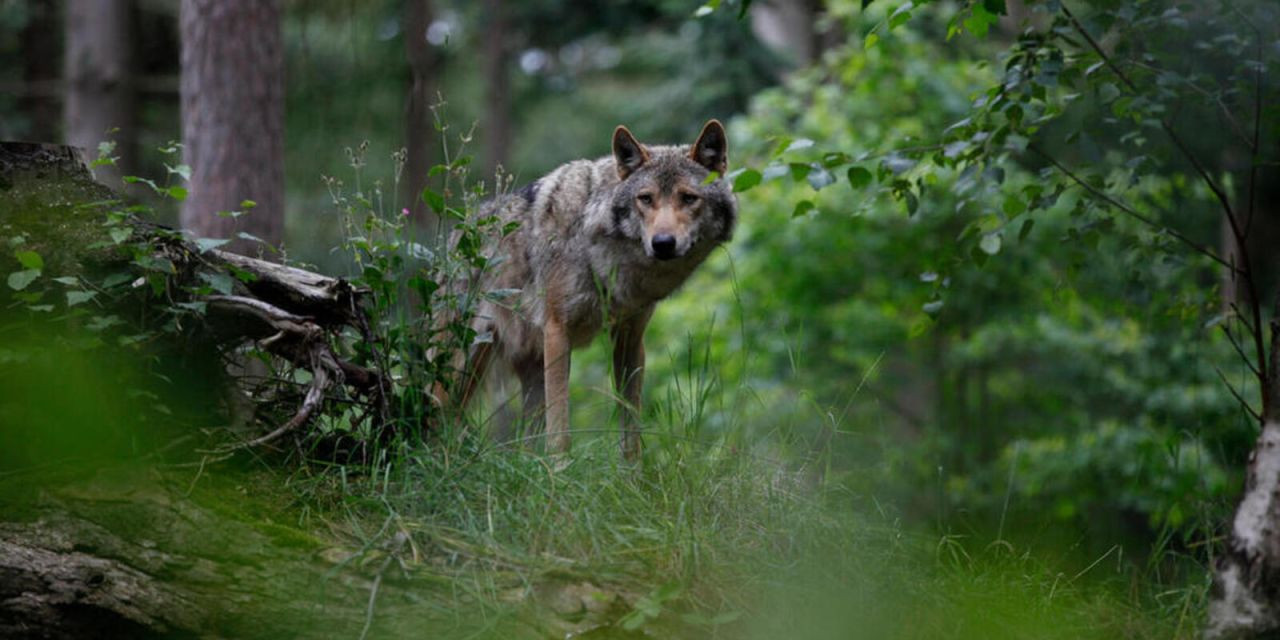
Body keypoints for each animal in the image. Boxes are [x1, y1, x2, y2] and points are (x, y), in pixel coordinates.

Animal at [440, 120, 742, 460]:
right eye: (646, 199)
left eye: (689, 198)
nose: (663, 243)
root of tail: (453, 235)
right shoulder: (557, 331)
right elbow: (561, 431)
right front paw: (560, 470)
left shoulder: (630, 338)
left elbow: (630, 429)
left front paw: (633, 473)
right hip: (460, 367)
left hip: (526, 375)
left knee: (523, 446)